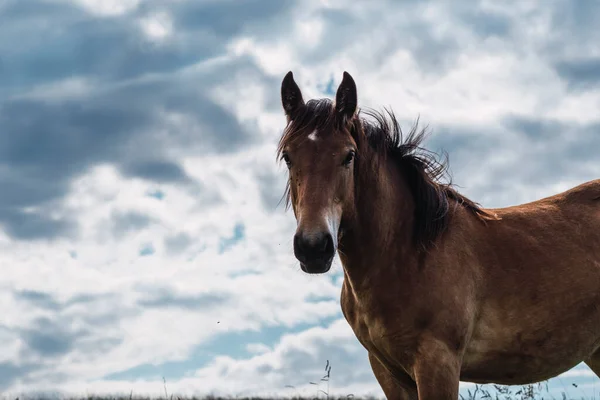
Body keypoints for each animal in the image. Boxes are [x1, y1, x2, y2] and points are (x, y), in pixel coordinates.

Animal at [278, 70, 600, 398]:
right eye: (289, 157)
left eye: (349, 156)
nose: (313, 247)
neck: (408, 254)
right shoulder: (387, 371)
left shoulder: (438, 362)